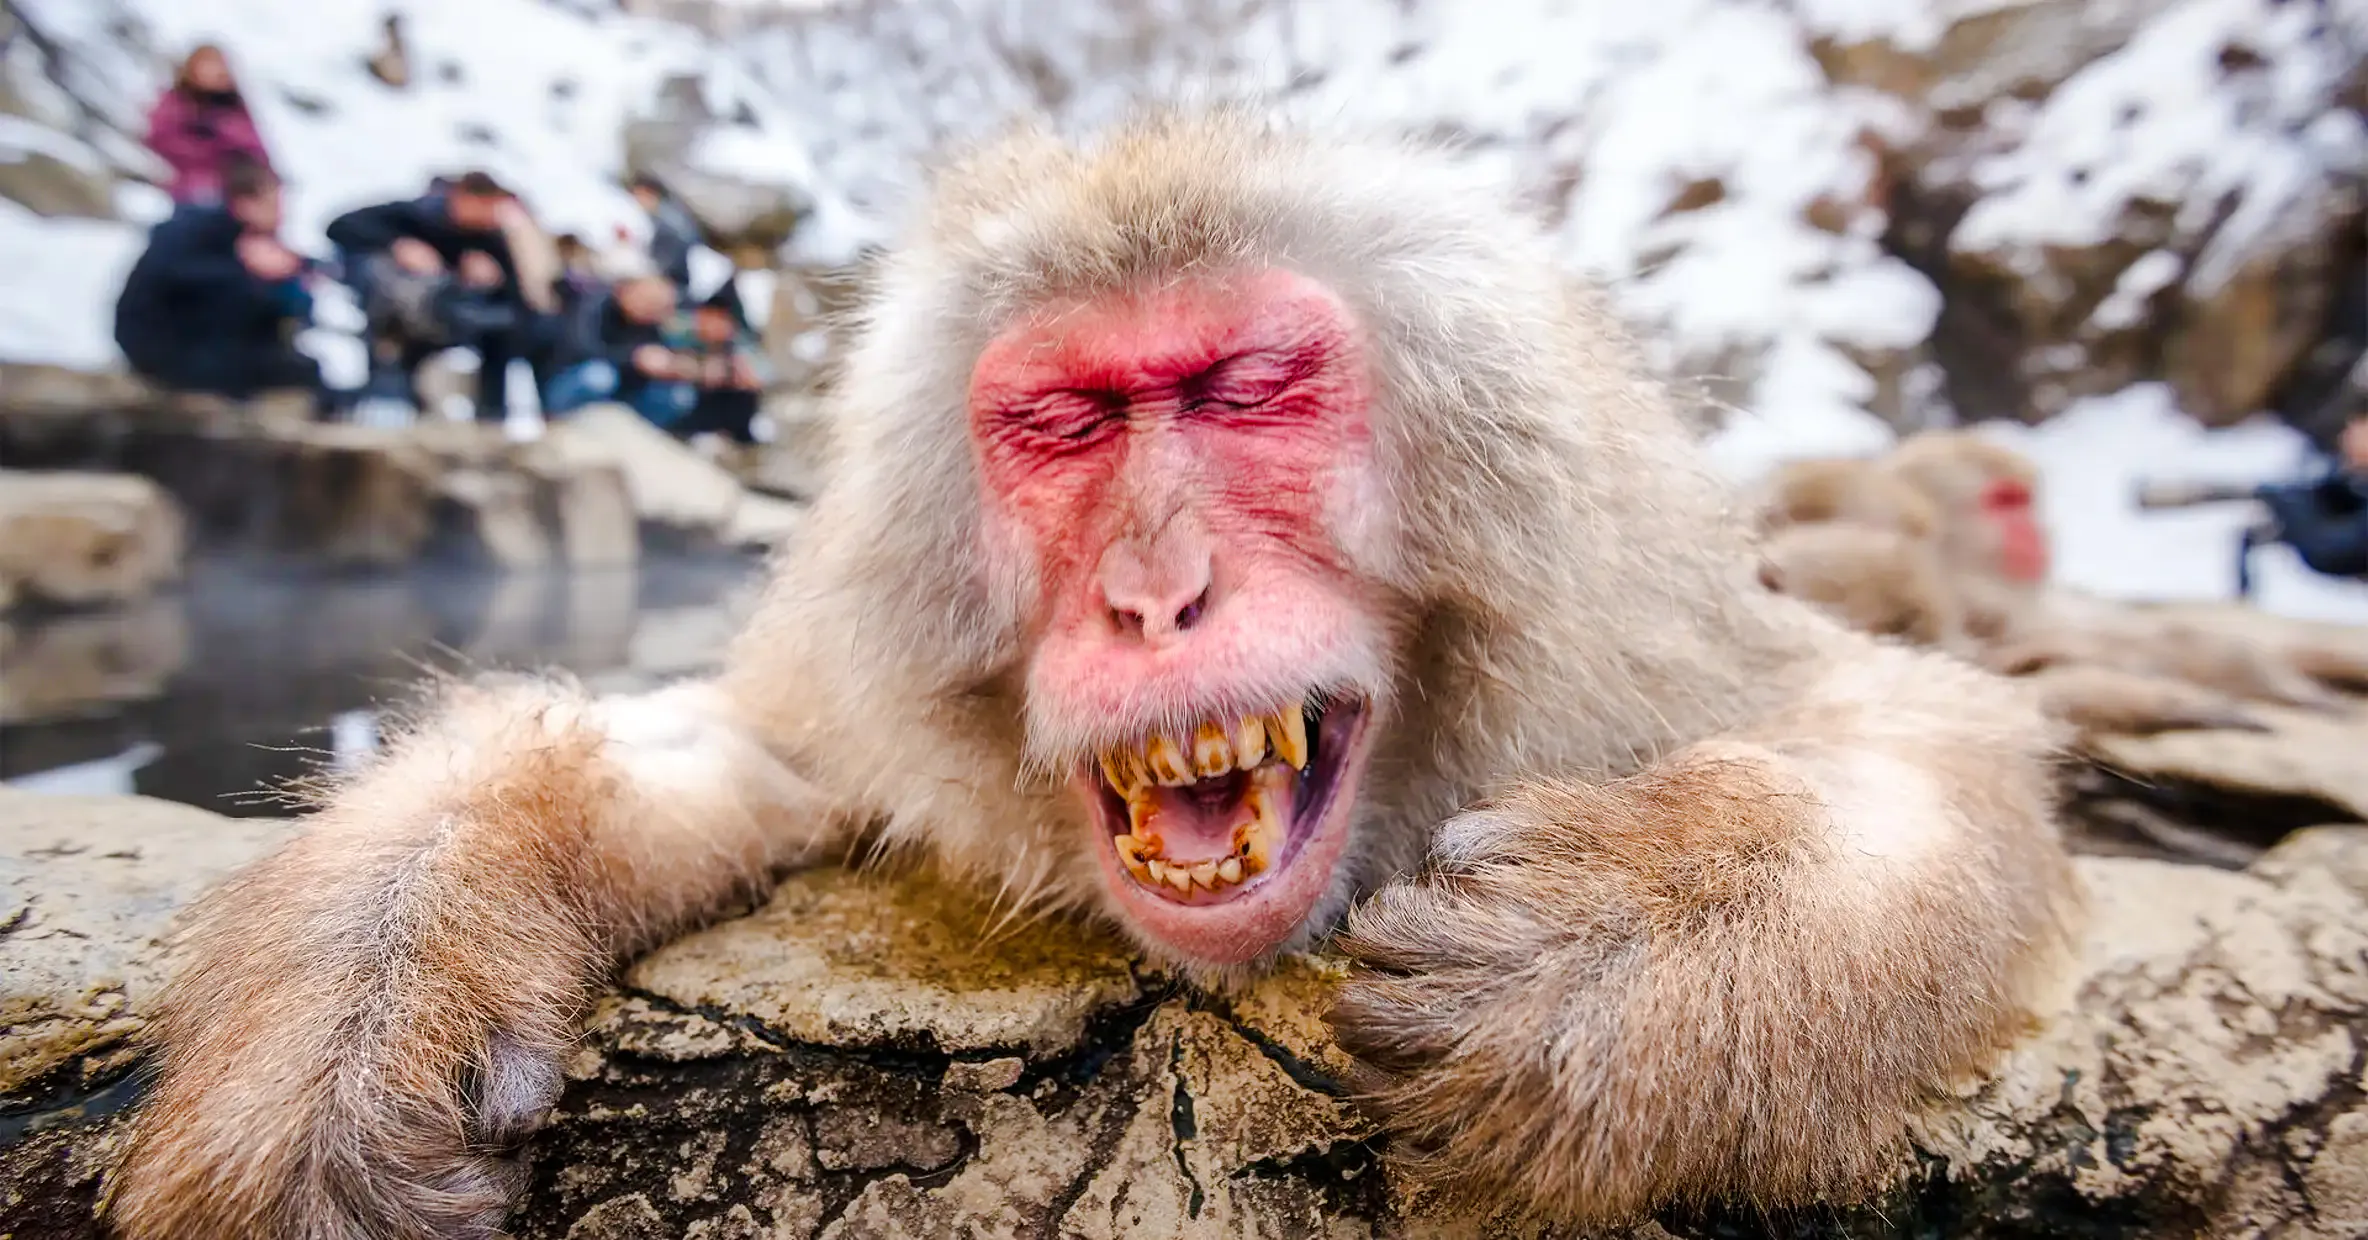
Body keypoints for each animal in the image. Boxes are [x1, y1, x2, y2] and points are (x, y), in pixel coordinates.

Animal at [109, 113, 2082, 1238]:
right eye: (1062, 422)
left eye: (1240, 391)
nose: (1153, 592)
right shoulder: (844, 708)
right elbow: (706, 752)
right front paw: (364, 1008)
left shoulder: (1659, 638)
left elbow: (1920, 734)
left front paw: (1639, 937)